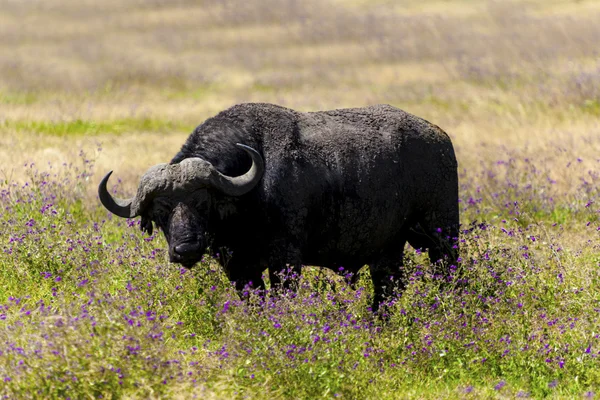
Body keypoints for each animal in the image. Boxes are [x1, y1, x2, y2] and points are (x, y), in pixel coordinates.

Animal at [98, 101, 460, 310]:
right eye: (161, 211)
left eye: (202, 201)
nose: (186, 249)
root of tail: (440, 138)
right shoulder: (238, 268)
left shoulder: (285, 259)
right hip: (388, 248)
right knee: (387, 288)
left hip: (442, 237)